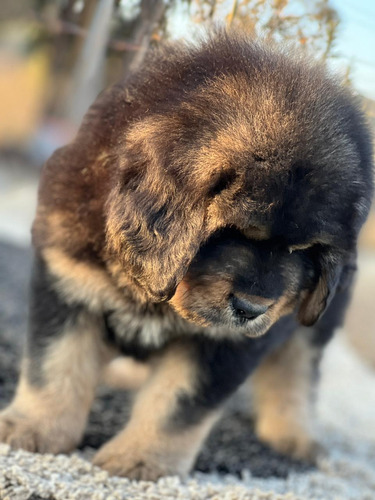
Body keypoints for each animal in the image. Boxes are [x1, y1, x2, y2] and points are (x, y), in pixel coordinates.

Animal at [0, 28, 374, 480]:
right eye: (230, 231)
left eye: (302, 250)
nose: (252, 309)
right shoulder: (69, 283)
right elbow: (54, 366)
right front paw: (32, 429)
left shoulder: (223, 345)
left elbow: (176, 404)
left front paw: (141, 460)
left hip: (317, 319)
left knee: (296, 374)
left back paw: (294, 438)